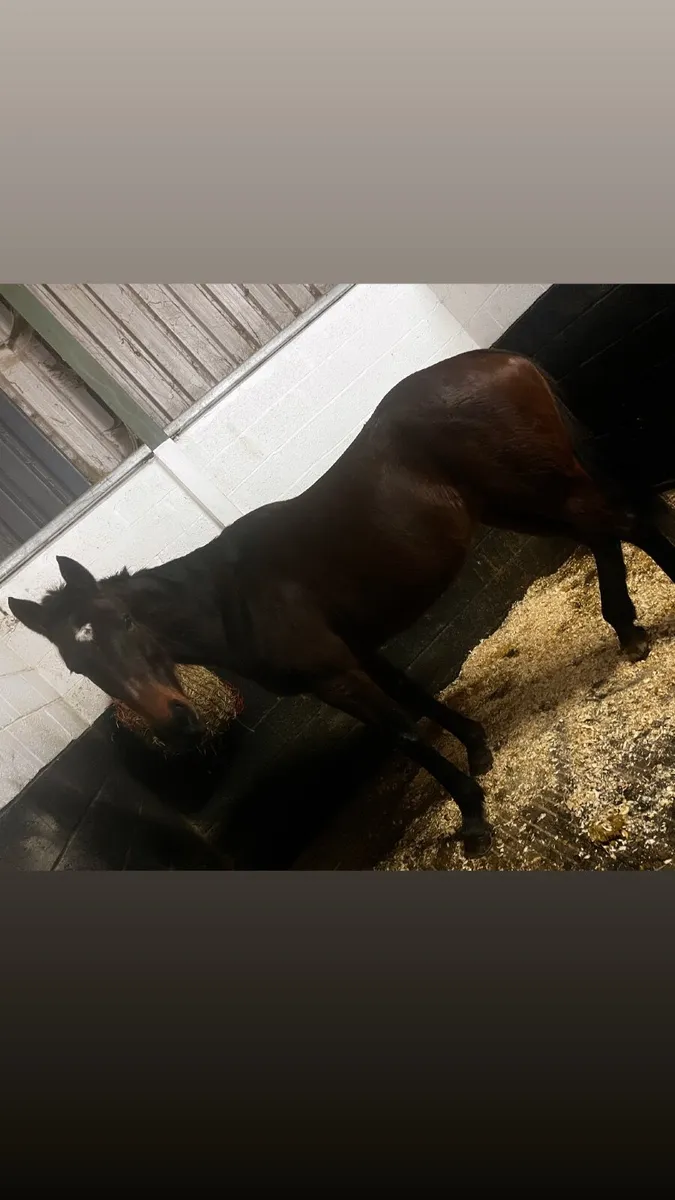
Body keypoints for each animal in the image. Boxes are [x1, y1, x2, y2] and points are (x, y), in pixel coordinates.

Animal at [9, 348, 675, 859]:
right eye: (80, 666)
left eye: (124, 620)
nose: (177, 723)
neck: (233, 596)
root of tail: (504, 359)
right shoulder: (358, 650)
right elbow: (417, 698)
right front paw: (478, 749)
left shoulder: (334, 675)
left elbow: (403, 732)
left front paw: (473, 819)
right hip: (522, 505)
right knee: (612, 533)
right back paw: (629, 631)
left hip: (541, 492)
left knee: (631, 525)